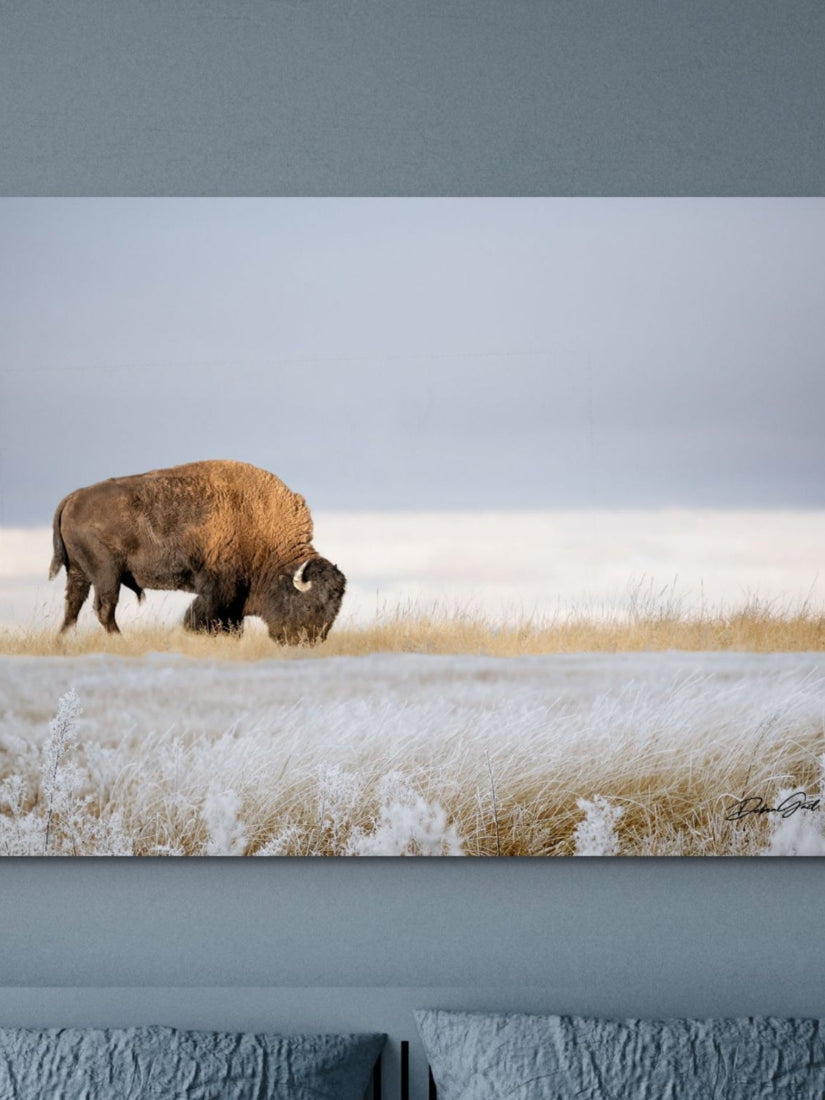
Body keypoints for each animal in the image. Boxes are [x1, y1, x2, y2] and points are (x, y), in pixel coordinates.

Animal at [49, 460, 345, 644]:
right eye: (310, 604)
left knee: (73, 605)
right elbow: (202, 616)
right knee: (103, 608)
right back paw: (119, 640)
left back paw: (63, 639)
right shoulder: (220, 588)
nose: (308, 641)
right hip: (107, 573)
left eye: (334, 610)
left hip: (79, 572)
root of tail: (73, 497)